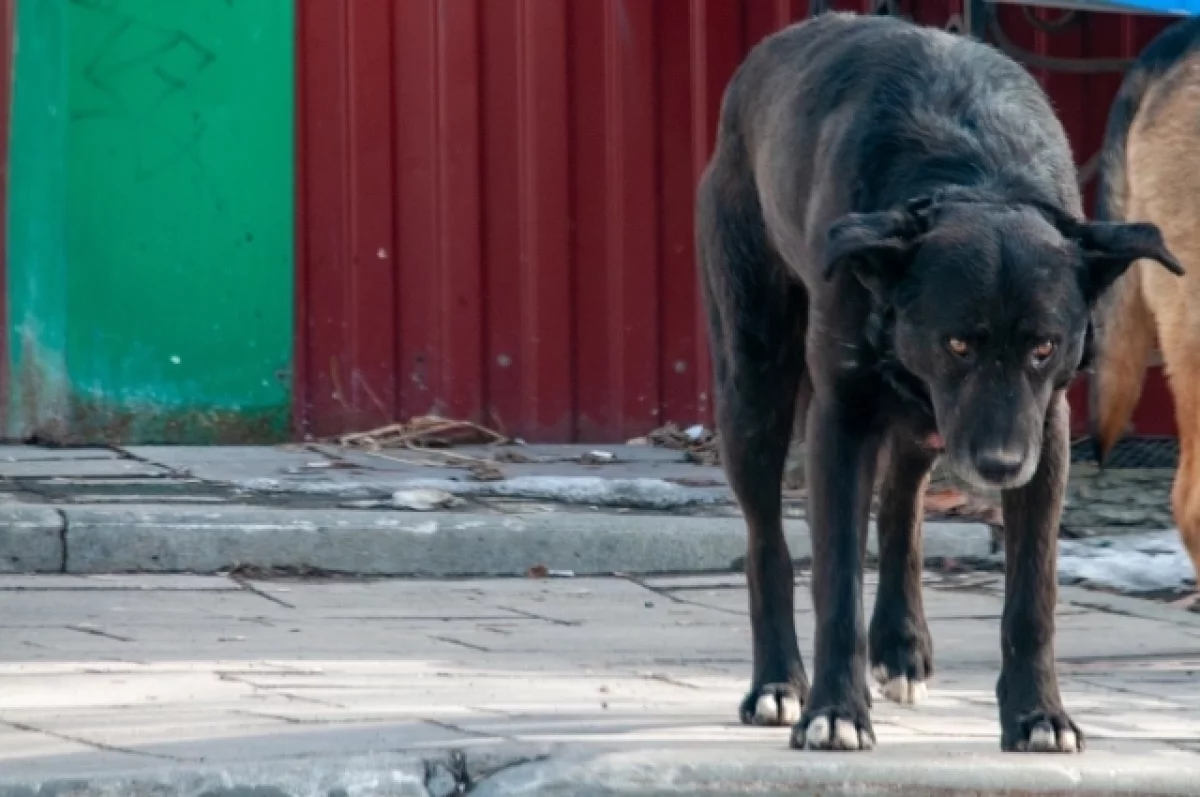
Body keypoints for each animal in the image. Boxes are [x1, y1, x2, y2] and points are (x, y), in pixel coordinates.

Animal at [696, 14, 1180, 753]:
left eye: (1043, 347)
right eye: (958, 342)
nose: (999, 466)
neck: (975, 175)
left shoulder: (1045, 431)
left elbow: (1032, 596)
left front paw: (1039, 715)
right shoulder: (841, 420)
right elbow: (836, 584)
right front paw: (835, 711)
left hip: (925, 423)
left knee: (901, 507)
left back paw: (900, 646)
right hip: (754, 381)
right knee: (767, 545)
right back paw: (778, 683)